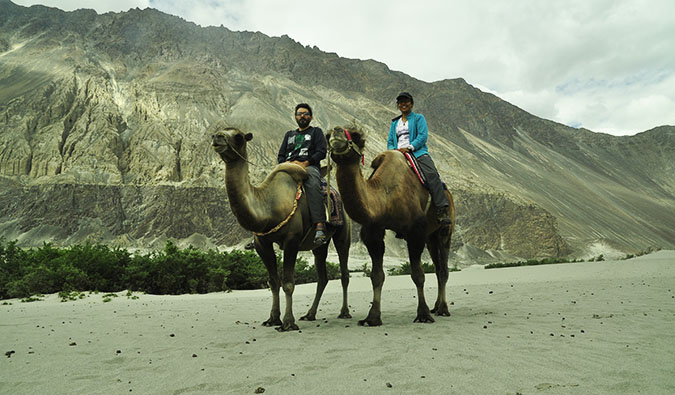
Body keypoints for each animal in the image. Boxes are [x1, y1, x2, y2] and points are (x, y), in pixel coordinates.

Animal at [211, 123, 352, 332]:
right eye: (217, 132)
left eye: (238, 136)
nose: (217, 137)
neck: (268, 205)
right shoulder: (262, 243)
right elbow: (273, 282)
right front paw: (272, 319)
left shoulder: (291, 240)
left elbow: (288, 283)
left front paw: (288, 322)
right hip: (319, 246)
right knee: (322, 276)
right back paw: (310, 314)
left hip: (343, 233)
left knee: (344, 273)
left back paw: (344, 312)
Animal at [326, 127, 456, 328]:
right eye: (327, 136)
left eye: (355, 136)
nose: (336, 132)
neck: (384, 197)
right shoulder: (373, 232)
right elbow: (377, 276)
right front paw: (372, 318)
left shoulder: (415, 231)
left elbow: (418, 274)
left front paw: (423, 314)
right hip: (430, 237)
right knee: (437, 266)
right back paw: (436, 306)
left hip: (445, 231)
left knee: (443, 269)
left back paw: (442, 309)